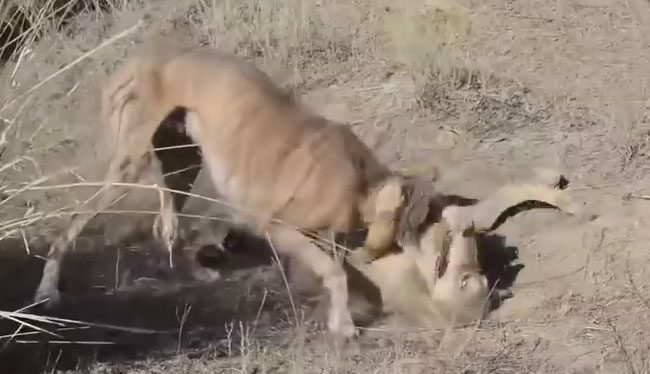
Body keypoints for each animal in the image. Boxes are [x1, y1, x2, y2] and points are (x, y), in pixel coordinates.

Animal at [31, 39, 436, 338]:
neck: (365, 183)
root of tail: (137, 59)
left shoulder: (323, 238)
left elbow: (342, 271)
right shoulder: (278, 227)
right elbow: (336, 274)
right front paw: (346, 327)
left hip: (181, 163)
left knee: (166, 221)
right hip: (128, 167)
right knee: (72, 224)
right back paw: (47, 290)